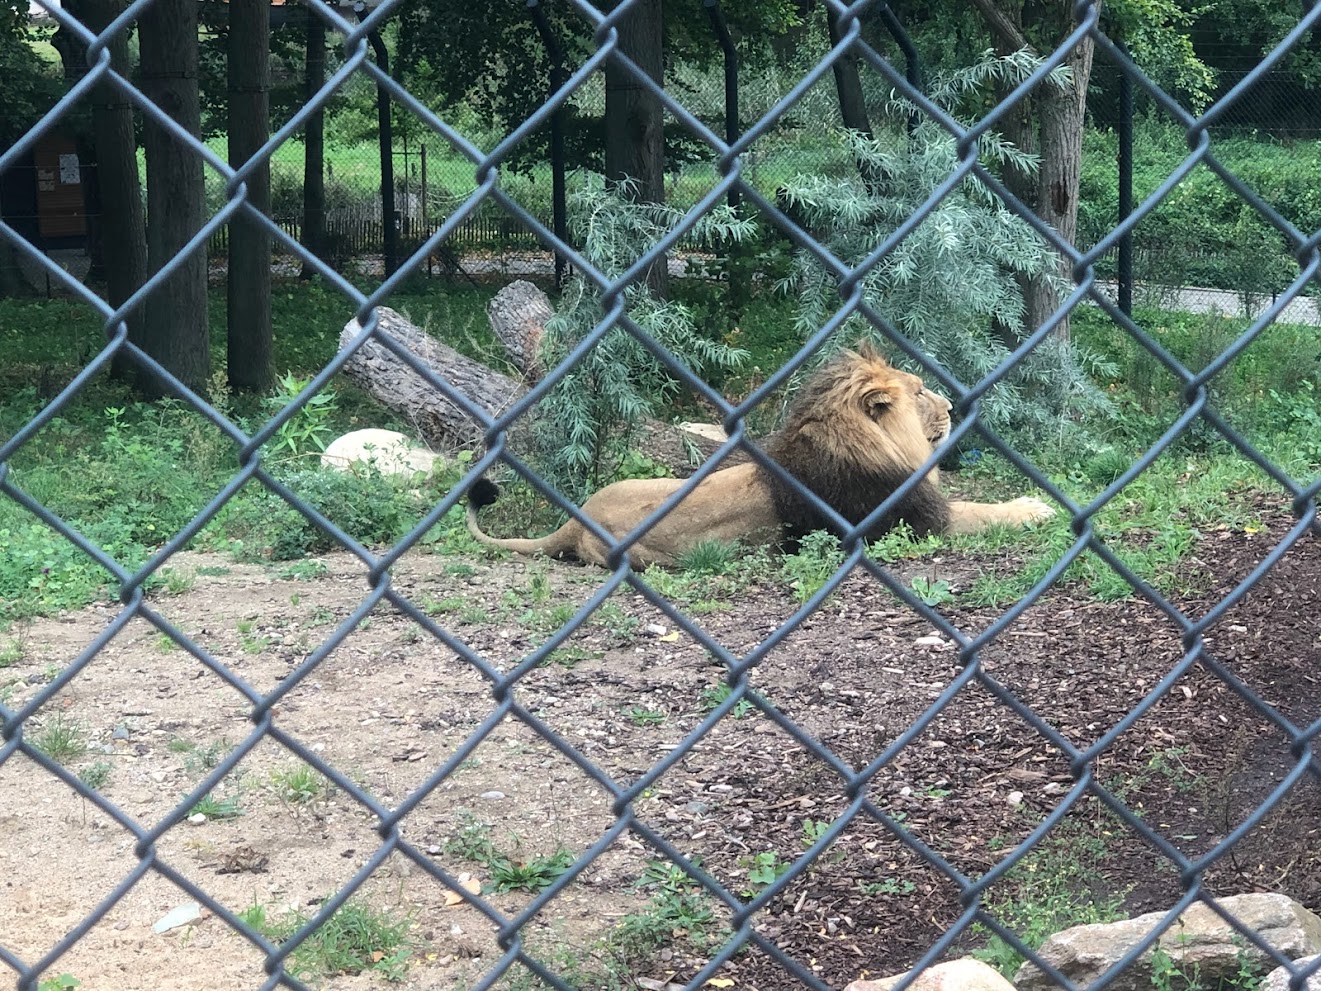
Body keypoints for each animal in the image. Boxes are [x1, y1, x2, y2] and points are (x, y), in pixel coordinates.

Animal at [465, 344, 1054, 568]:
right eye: (919, 390)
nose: (953, 405)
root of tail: (573, 522)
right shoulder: (917, 523)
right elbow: (984, 512)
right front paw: (1035, 507)